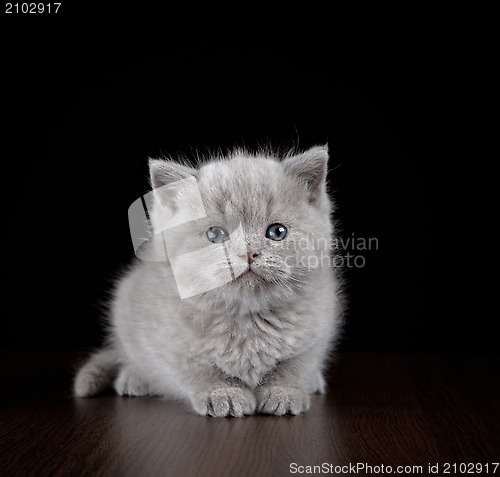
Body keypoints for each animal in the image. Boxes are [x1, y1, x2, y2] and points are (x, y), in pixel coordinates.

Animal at [75, 145, 344, 416]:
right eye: (216, 234)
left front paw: (284, 392)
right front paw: (223, 393)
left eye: (277, 232)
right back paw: (135, 378)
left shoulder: (317, 332)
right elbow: (198, 370)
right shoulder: (168, 343)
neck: (247, 317)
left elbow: (296, 365)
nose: (248, 253)